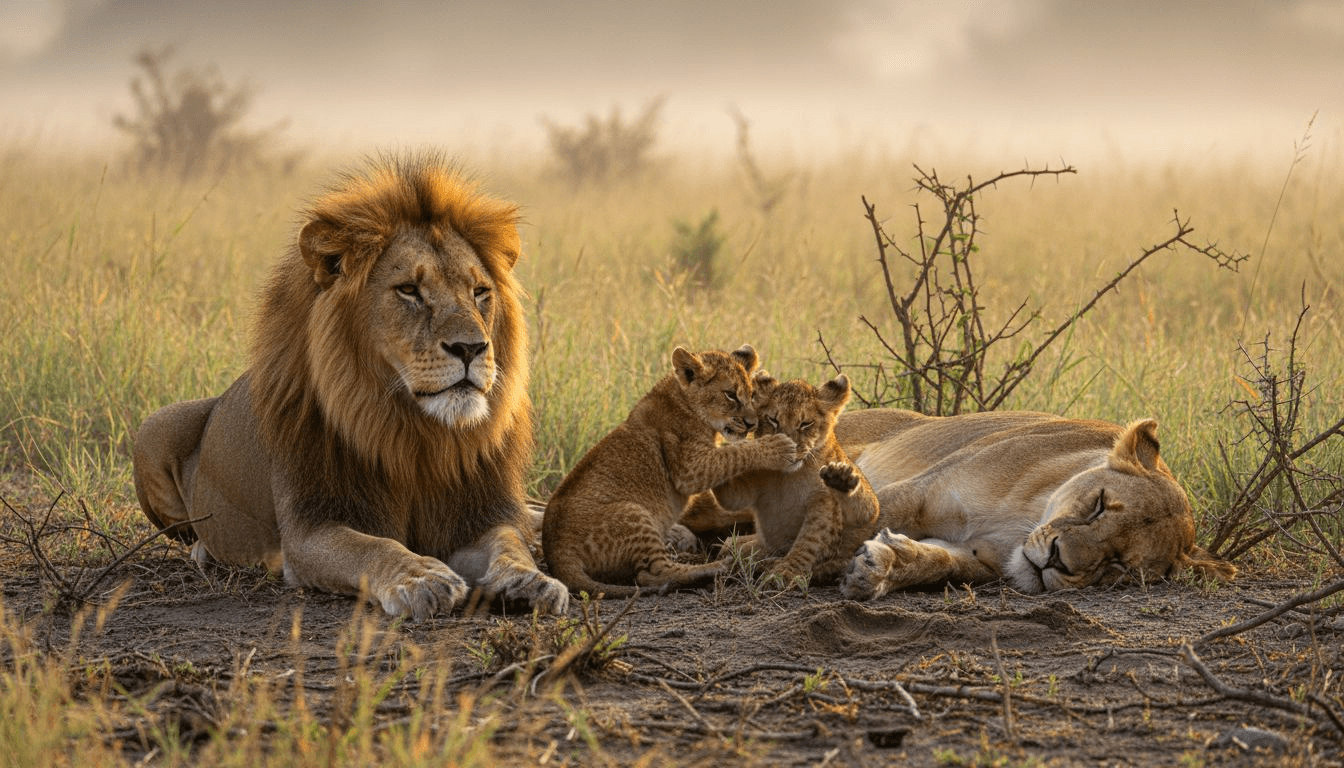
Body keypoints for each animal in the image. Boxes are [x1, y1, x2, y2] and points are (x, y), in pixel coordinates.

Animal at [132, 153, 569, 620]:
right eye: (409, 290)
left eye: (480, 292)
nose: (471, 347)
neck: (417, 434)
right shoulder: (310, 529)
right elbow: (373, 547)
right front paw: (421, 578)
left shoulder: (476, 514)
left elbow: (509, 542)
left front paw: (531, 580)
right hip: (153, 428)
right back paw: (204, 552)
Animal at [542, 345, 801, 598]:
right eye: (730, 394)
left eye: (751, 395)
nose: (751, 424)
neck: (685, 400)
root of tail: (557, 552)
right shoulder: (689, 470)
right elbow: (735, 451)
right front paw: (780, 448)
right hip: (634, 512)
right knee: (653, 574)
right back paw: (719, 567)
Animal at [687, 372, 879, 588]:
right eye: (773, 420)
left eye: (805, 424)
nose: (790, 448)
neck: (789, 476)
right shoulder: (747, 488)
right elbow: (731, 495)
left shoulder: (825, 503)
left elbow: (810, 541)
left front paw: (785, 572)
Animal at [835, 409, 1236, 599]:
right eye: (1100, 504)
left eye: (1119, 565)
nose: (1058, 560)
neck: (1025, 518)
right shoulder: (918, 493)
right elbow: (862, 520)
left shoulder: (980, 559)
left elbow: (938, 564)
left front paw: (880, 566)